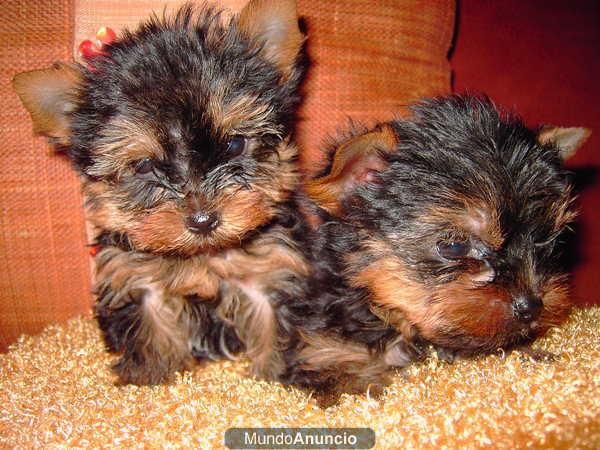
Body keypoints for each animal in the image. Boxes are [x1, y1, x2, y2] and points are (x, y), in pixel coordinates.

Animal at [11, 0, 308, 386]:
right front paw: (148, 379)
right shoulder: (134, 278)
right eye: (143, 166)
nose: (202, 220)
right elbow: (149, 331)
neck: (201, 256)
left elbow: (274, 326)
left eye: (234, 144)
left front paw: (276, 377)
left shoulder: (271, 270)